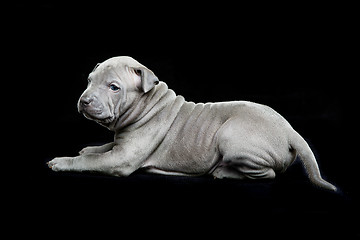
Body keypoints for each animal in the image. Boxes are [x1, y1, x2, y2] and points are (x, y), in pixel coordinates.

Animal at [46, 55, 336, 191]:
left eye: (114, 87)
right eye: (89, 80)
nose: (84, 100)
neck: (147, 104)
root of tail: (290, 130)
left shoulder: (122, 158)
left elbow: (91, 161)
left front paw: (63, 161)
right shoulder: (121, 144)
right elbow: (103, 148)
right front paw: (90, 147)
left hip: (231, 137)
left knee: (269, 175)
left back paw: (223, 172)